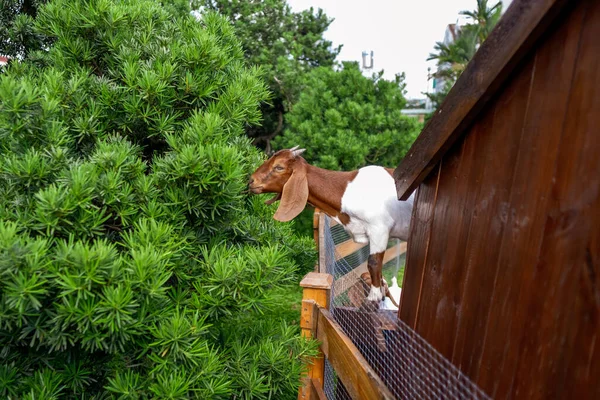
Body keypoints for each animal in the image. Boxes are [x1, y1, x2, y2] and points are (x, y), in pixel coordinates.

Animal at [248, 147, 412, 304]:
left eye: (279, 167)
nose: (251, 181)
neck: (348, 191)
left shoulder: (379, 228)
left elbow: (373, 262)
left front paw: (374, 296)